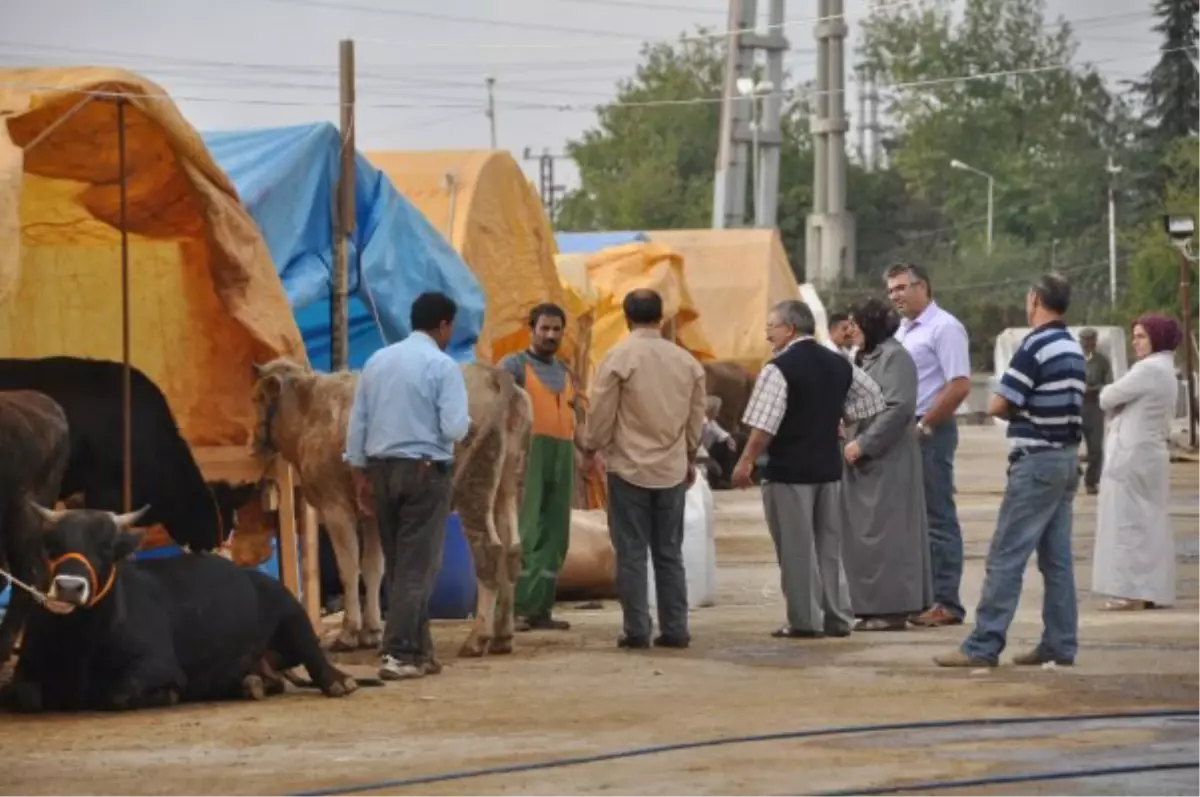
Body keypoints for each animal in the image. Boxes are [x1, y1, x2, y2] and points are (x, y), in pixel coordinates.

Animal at [0, 504, 367, 710]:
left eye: (106, 546)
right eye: (54, 544)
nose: (70, 588)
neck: (82, 641)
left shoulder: (158, 665)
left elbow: (119, 694)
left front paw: (167, 696)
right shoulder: (27, 669)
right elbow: (26, 697)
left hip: (293, 614)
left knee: (315, 655)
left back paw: (339, 681)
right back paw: (250, 683)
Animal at [248, 357, 530, 657]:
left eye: (256, 397)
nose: (251, 443)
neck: (310, 410)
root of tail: (490, 373)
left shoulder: (335, 506)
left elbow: (349, 568)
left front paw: (348, 633)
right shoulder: (372, 513)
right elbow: (373, 568)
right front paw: (371, 631)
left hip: (475, 488)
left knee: (489, 552)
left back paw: (478, 638)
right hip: (509, 484)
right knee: (511, 551)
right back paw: (503, 635)